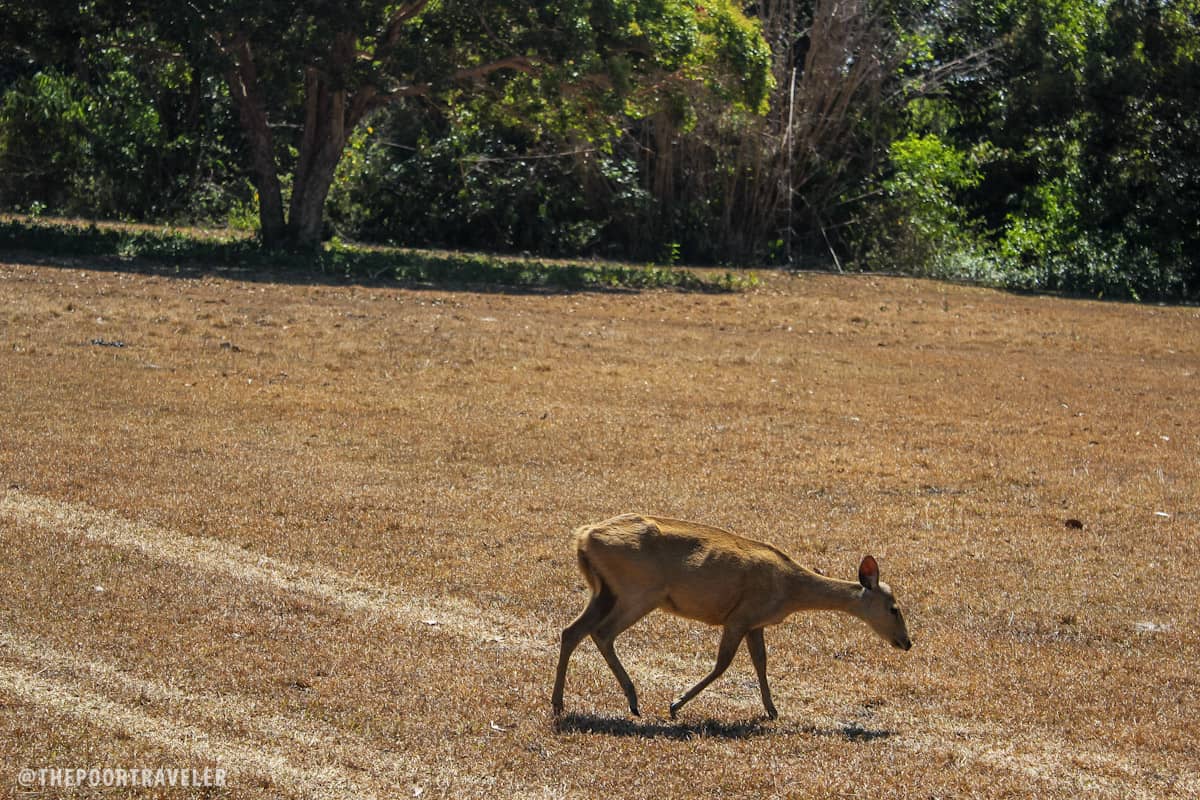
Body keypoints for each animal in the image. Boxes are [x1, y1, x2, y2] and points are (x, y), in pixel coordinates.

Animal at [549, 515, 907, 724]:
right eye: (894, 607)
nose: (907, 641)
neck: (789, 591)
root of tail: (583, 538)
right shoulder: (739, 617)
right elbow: (723, 664)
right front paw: (675, 705)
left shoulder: (755, 623)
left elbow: (761, 662)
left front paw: (772, 710)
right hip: (639, 591)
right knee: (602, 632)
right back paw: (633, 701)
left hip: (603, 591)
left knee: (572, 631)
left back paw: (559, 704)